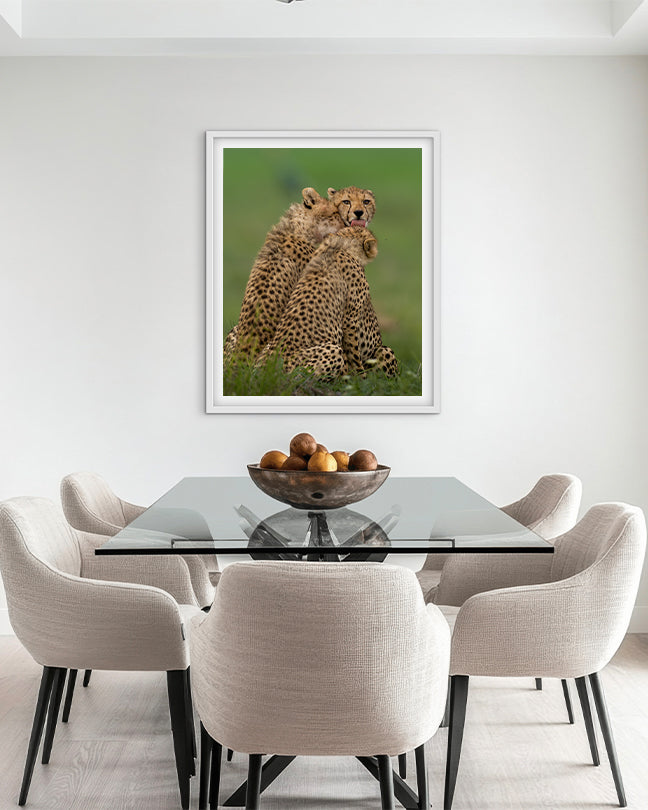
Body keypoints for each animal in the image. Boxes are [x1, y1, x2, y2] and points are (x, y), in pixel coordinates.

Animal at [257, 226, 399, 380]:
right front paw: (360, 378)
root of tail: (267, 369)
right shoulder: (350, 319)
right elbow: (355, 355)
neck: (340, 245)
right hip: (333, 351)